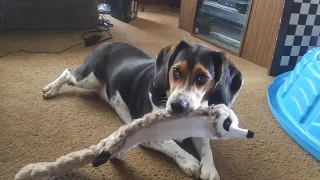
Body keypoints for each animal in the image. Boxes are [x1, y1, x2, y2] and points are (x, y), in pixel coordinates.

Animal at [42, 40, 242, 180]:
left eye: (202, 78)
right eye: (175, 71)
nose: (177, 106)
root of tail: (108, 43)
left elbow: (206, 148)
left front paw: (209, 169)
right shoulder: (148, 135)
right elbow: (171, 143)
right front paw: (189, 161)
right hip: (86, 78)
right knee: (67, 72)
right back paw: (51, 89)